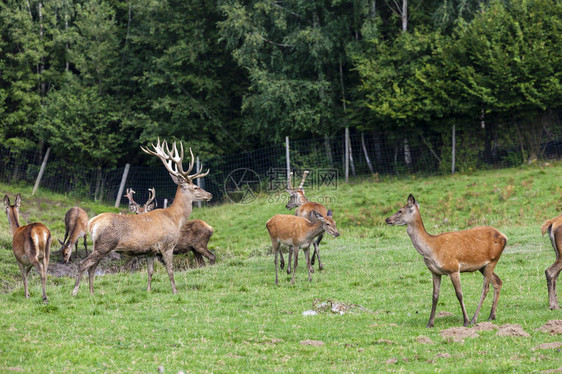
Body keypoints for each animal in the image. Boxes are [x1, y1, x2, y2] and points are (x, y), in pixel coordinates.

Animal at [70, 137, 210, 296]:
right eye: (195, 187)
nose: (210, 195)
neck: (175, 219)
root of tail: (92, 223)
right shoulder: (167, 245)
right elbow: (170, 270)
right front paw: (175, 291)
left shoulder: (150, 251)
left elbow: (150, 271)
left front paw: (148, 290)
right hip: (104, 244)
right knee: (82, 264)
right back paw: (74, 292)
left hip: (100, 247)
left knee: (92, 268)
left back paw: (92, 293)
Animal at [382, 194, 506, 328]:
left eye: (400, 210)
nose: (387, 219)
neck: (431, 249)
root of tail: (504, 237)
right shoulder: (435, 272)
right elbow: (435, 296)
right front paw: (430, 323)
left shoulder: (453, 268)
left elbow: (459, 294)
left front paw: (465, 321)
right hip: (482, 266)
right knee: (498, 282)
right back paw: (491, 316)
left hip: (492, 261)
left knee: (485, 288)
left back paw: (474, 319)